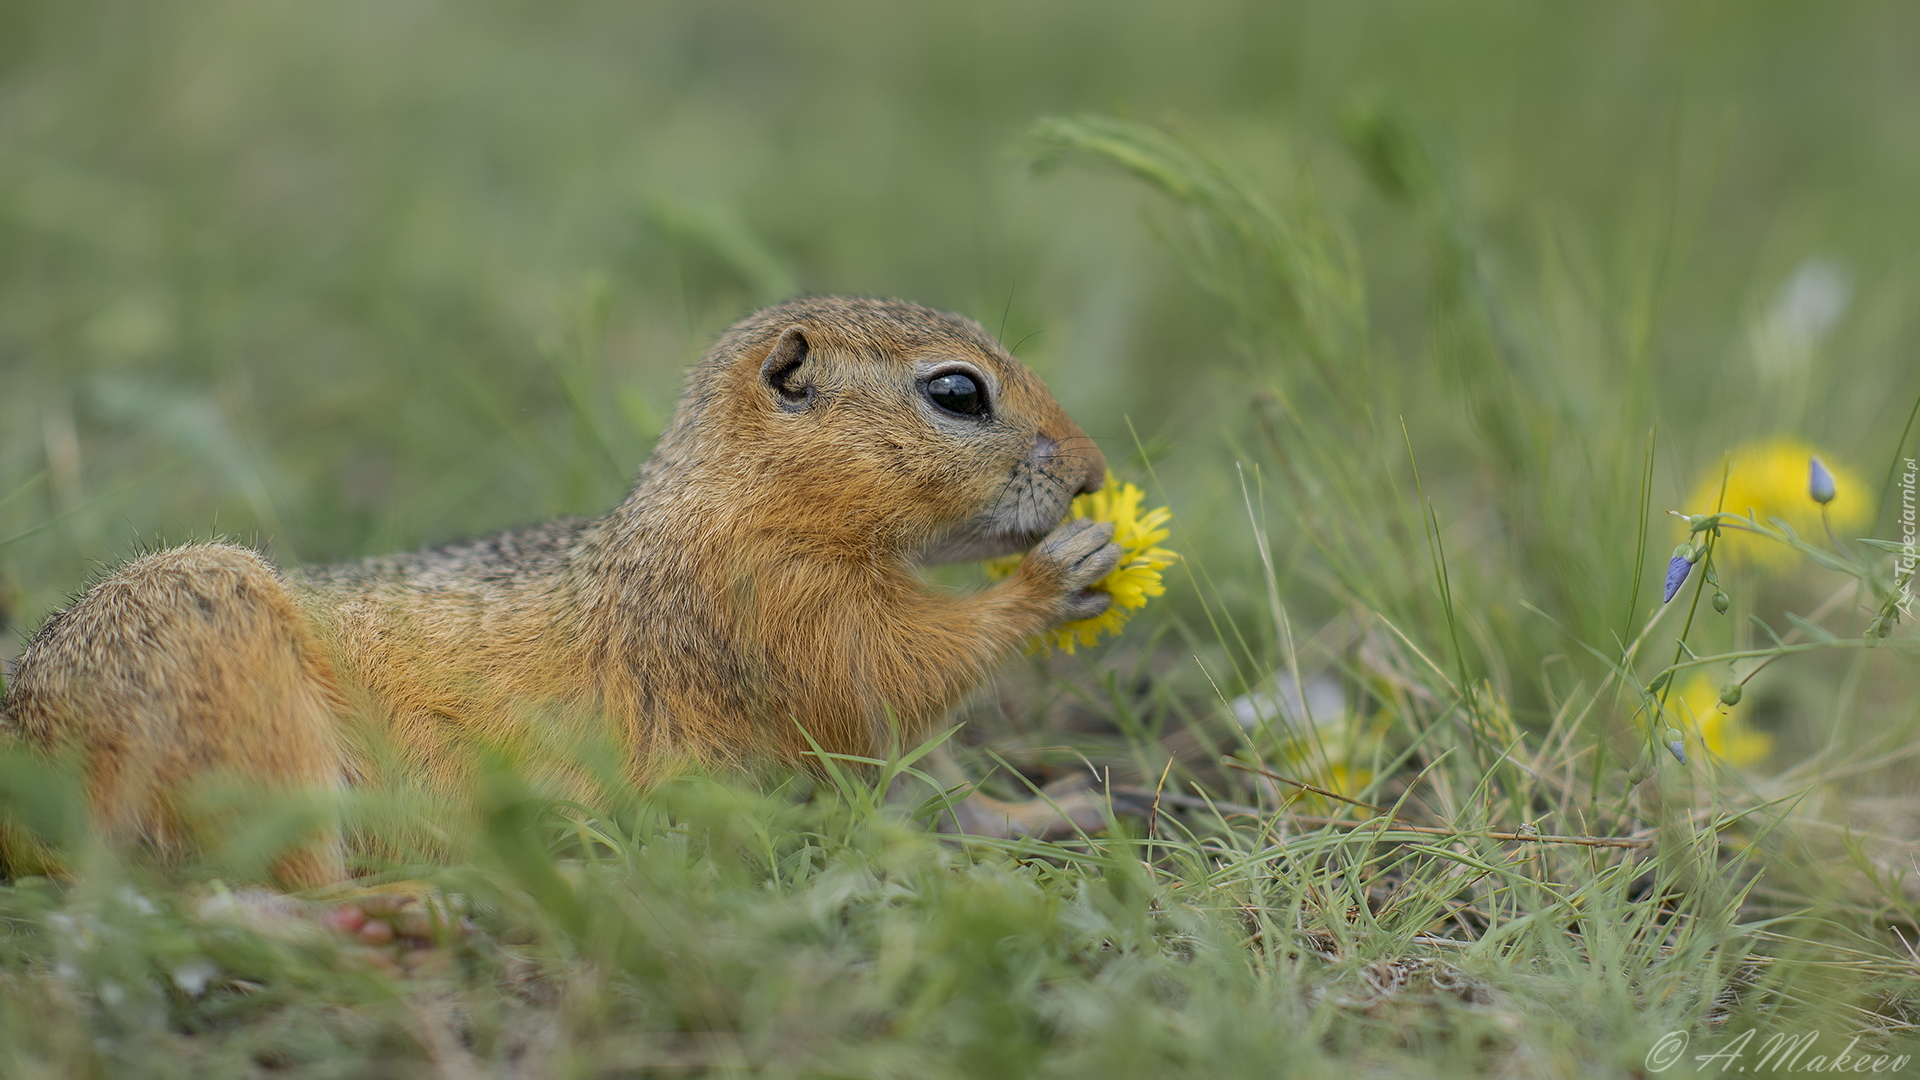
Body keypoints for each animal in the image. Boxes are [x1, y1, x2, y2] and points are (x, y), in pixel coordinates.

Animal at [0, 292, 1121, 883]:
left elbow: (923, 780)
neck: (720, 504)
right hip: (223, 678)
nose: (1091, 473)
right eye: (957, 392)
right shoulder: (776, 604)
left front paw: (1046, 807)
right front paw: (1057, 575)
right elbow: (890, 673)